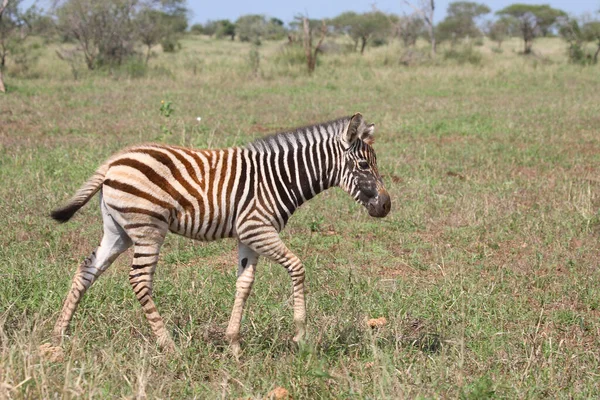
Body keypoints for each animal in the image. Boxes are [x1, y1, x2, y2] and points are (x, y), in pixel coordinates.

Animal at [50, 111, 390, 354]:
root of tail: (113, 161)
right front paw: (301, 335)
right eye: (363, 165)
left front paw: (234, 344)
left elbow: (244, 284)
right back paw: (168, 345)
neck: (281, 177)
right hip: (147, 228)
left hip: (118, 230)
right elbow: (298, 267)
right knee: (139, 280)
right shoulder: (257, 228)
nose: (386, 206)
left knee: (86, 270)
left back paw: (58, 335)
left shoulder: (247, 236)